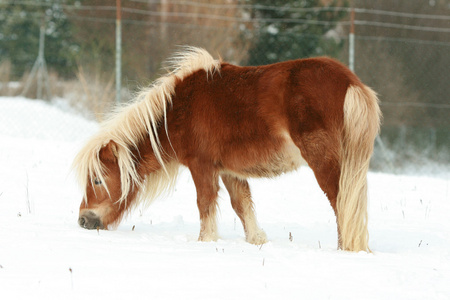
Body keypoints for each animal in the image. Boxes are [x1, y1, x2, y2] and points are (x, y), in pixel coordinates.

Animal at [73, 47, 380, 252]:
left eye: (98, 180)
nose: (83, 220)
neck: (179, 109)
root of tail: (350, 82)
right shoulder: (230, 170)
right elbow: (241, 205)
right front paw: (257, 240)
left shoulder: (202, 166)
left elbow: (205, 203)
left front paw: (206, 241)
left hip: (324, 162)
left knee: (340, 202)